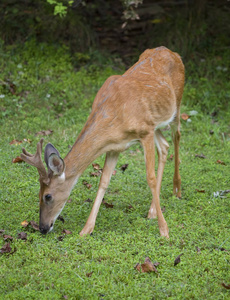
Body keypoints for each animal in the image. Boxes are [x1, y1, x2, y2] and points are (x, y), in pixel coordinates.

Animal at [20, 47, 184, 238]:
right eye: (38, 193)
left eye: (48, 196)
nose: (43, 228)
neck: (115, 114)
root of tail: (171, 52)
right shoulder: (115, 146)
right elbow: (104, 181)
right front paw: (86, 229)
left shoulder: (145, 132)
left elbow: (150, 177)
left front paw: (164, 230)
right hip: (156, 122)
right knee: (164, 146)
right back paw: (152, 210)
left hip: (176, 106)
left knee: (176, 136)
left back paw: (177, 189)